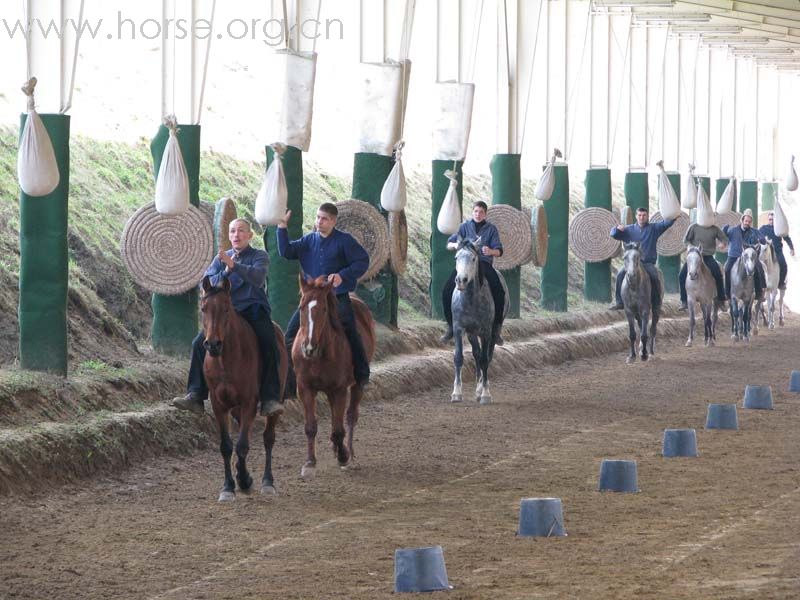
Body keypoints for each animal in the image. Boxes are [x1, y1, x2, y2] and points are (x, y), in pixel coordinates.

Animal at [202, 276, 290, 502]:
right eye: (204, 308)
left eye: (226, 308)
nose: (213, 344)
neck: (226, 360)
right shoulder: (219, 404)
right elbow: (226, 446)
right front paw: (228, 486)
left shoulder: (249, 400)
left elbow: (242, 445)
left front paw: (243, 480)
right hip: (235, 408)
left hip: (275, 400)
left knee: (268, 437)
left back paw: (267, 482)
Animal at [294, 276, 376, 478]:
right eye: (301, 307)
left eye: (324, 309)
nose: (308, 347)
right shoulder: (305, 389)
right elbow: (310, 426)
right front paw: (310, 462)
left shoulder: (339, 390)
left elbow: (339, 429)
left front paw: (343, 455)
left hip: (356, 386)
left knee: (351, 416)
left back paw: (349, 451)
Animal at [450, 238, 506, 404]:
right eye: (456, 257)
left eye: (473, 258)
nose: (461, 280)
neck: (470, 301)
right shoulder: (458, 329)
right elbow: (458, 358)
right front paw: (456, 393)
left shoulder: (486, 331)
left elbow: (485, 360)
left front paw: (486, 394)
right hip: (472, 333)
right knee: (476, 354)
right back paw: (477, 388)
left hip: (492, 333)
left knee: (487, 356)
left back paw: (481, 389)